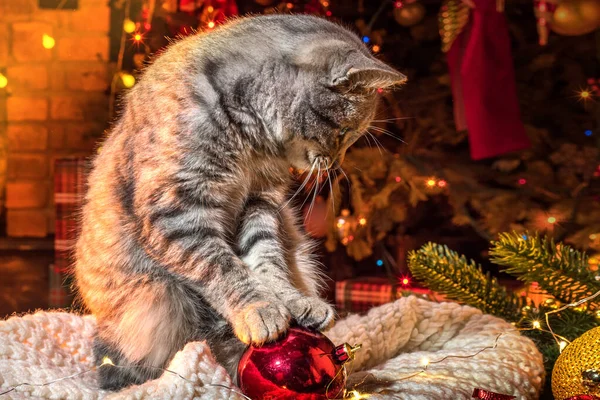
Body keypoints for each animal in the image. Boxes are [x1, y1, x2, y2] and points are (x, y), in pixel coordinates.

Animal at [74, 14, 404, 390]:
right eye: (346, 133)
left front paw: (293, 302)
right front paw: (258, 310)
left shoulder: (259, 204)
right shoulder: (179, 212)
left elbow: (268, 264)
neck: (251, 141)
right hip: (156, 299)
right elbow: (225, 269)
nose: (336, 164)